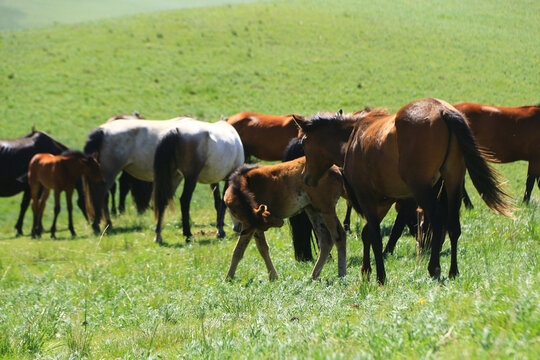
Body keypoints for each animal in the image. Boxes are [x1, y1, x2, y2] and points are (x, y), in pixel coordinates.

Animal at [83, 117, 244, 239]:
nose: (238, 228)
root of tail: (102, 130)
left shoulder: (214, 179)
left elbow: (218, 202)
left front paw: (220, 229)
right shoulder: (227, 176)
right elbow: (222, 202)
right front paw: (220, 231)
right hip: (111, 171)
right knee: (100, 195)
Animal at [298, 98, 512, 284]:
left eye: (303, 143)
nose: (306, 177)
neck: (352, 137)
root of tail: (443, 110)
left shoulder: (367, 197)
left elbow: (375, 235)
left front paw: (380, 276)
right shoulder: (384, 201)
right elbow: (367, 233)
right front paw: (366, 270)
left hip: (421, 187)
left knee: (437, 216)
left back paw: (434, 267)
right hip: (453, 180)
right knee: (453, 225)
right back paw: (453, 271)